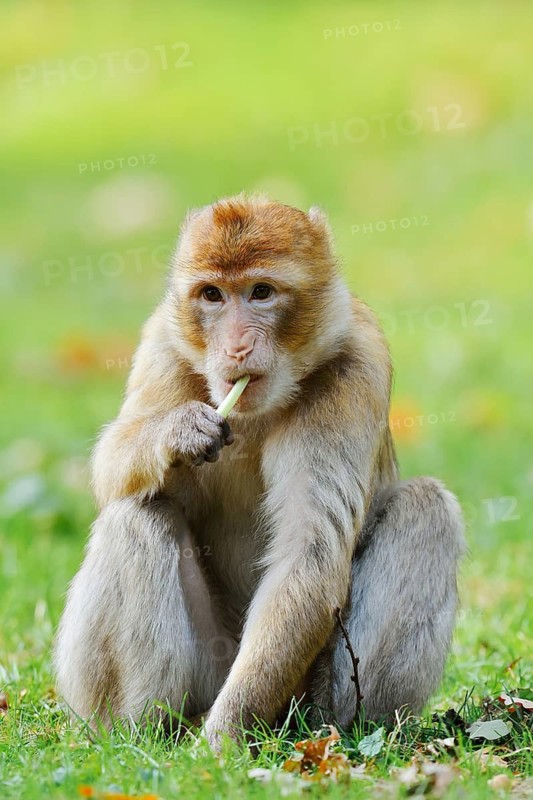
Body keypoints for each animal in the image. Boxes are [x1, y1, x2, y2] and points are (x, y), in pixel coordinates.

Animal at [54, 195, 465, 749]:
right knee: (137, 516)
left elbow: (308, 553)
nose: (236, 347)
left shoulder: (355, 367)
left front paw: (220, 741)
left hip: (310, 695)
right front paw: (177, 432)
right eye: (212, 295)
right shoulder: (164, 342)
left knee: (425, 508)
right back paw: (137, 734)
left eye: (261, 293)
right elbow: (109, 468)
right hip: (207, 670)